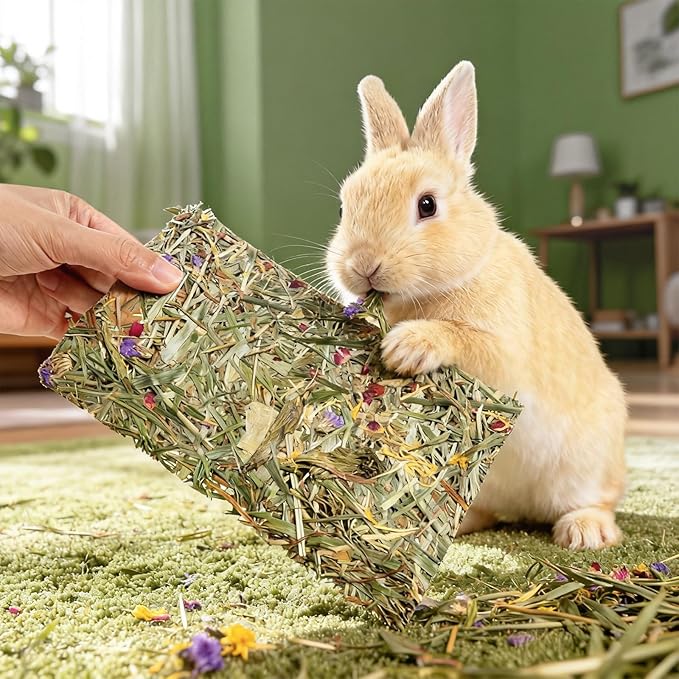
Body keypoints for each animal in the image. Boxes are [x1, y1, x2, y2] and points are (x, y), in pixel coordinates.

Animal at [325, 61, 627, 550]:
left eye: (427, 205)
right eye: (341, 208)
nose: (363, 265)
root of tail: (525, 508)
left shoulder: (505, 353)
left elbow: (469, 342)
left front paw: (406, 347)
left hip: (591, 465)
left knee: (597, 501)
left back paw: (584, 532)